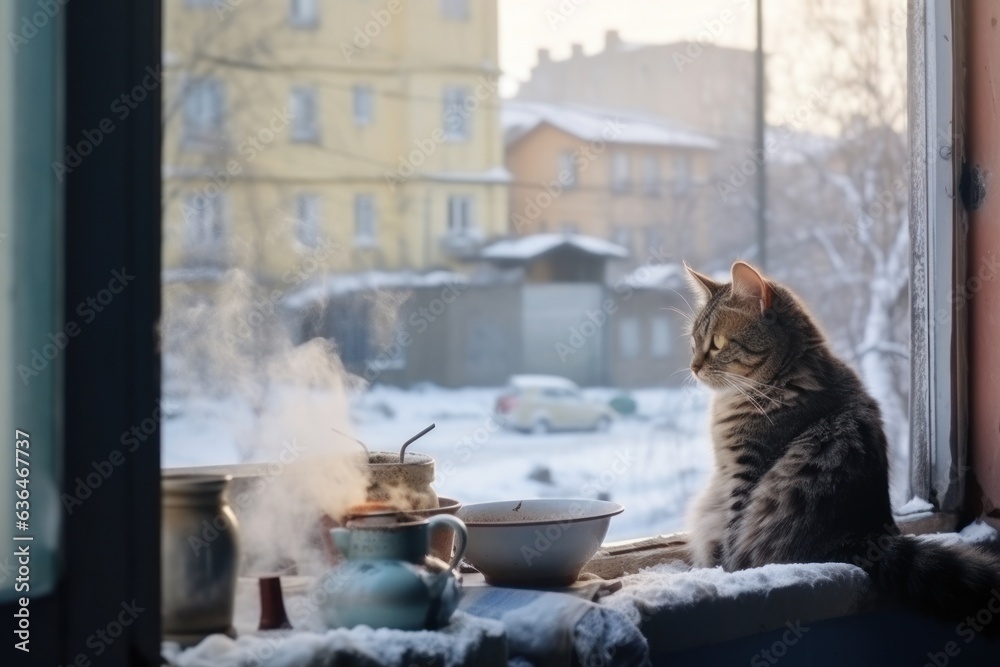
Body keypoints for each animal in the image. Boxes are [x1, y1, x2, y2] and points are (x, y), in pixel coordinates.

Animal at [684, 260, 1000, 632]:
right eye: (694, 342)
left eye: (718, 343)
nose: (693, 366)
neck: (786, 377)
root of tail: (861, 534)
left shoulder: (744, 476)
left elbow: (730, 541)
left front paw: (721, 570)